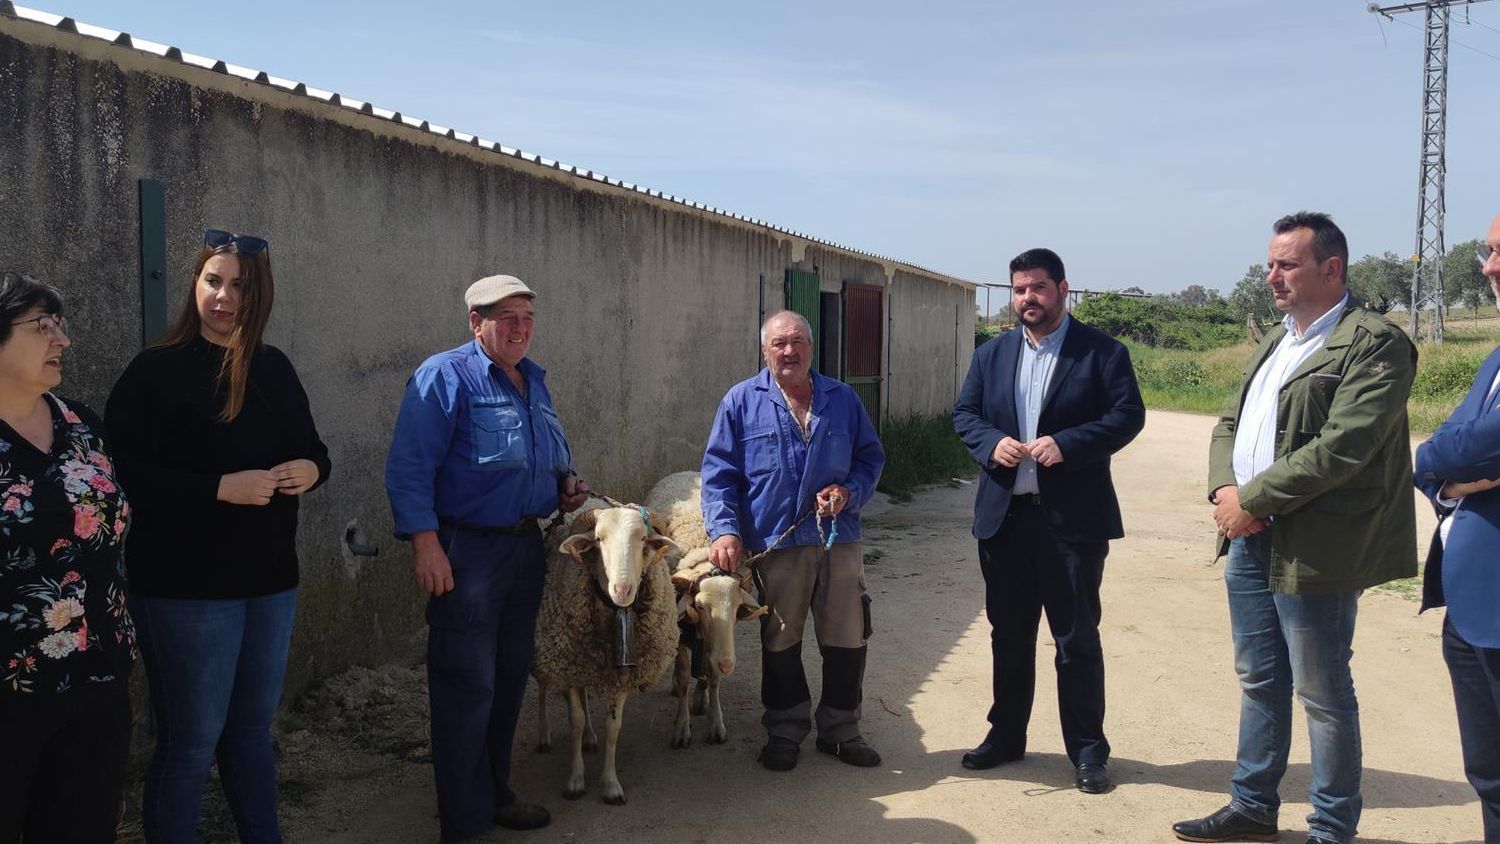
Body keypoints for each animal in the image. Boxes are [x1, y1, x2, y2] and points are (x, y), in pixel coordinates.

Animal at [531, 506, 678, 803]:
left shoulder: (621, 674)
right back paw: (544, 733)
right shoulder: (567, 666)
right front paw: (575, 780)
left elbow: (613, 727)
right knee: (544, 687)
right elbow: (574, 721)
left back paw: (590, 737)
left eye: (643, 539)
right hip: (548, 655)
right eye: (598, 539)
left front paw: (610, 785)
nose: (622, 590)